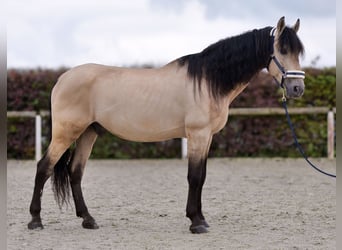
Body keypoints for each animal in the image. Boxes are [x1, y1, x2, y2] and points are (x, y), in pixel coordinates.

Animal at [26, 16, 304, 233]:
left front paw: (201, 218)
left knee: (75, 172)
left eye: (298, 52)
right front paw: (196, 223)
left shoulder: (207, 138)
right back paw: (35, 220)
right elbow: (194, 177)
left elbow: (202, 177)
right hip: (66, 132)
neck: (207, 81)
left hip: (88, 133)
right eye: (282, 50)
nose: (297, 89)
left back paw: (88, 220)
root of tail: (62, 78)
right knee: (44, 168)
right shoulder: (198, 135)